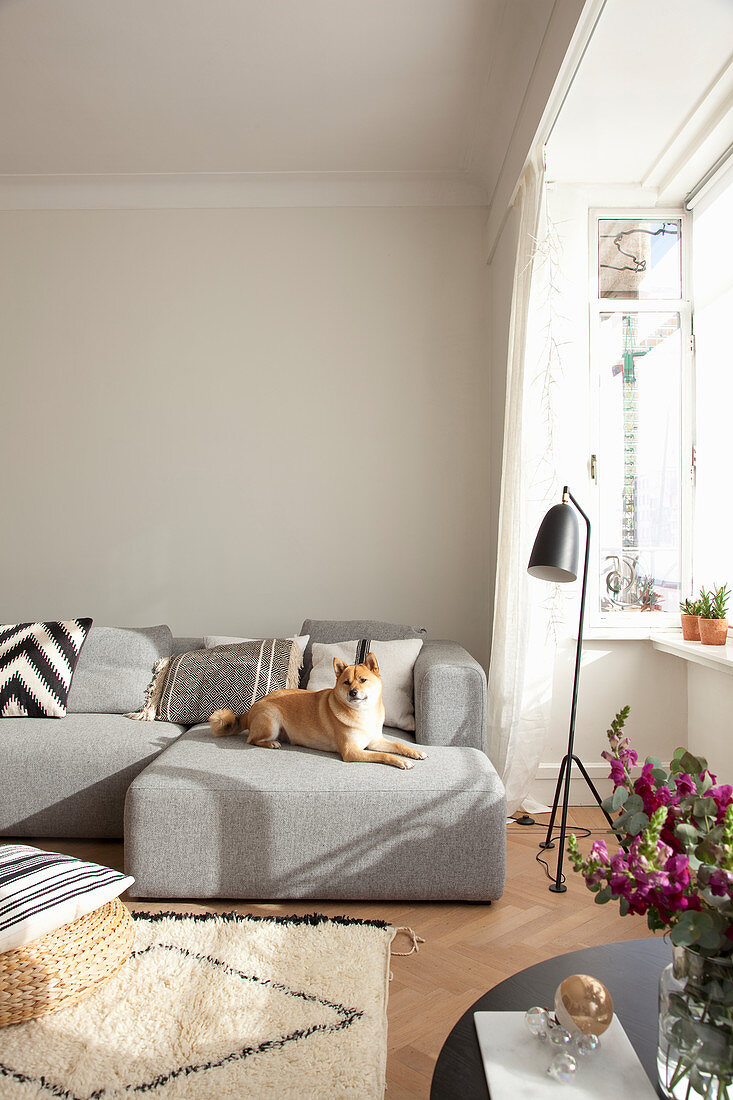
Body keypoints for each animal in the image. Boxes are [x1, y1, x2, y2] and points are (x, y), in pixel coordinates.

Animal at [205, 646, 424, 770]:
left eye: (362, 680)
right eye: (346, 683)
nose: (353, 692)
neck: (363, 714)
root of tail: (253, 707)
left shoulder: (376, 741)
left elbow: (398, 746)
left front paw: (414, 752)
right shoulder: (352, 751)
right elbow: (384, 755)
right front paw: (401, 762)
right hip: (271, 720)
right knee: (251, 740)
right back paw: (271, 743)